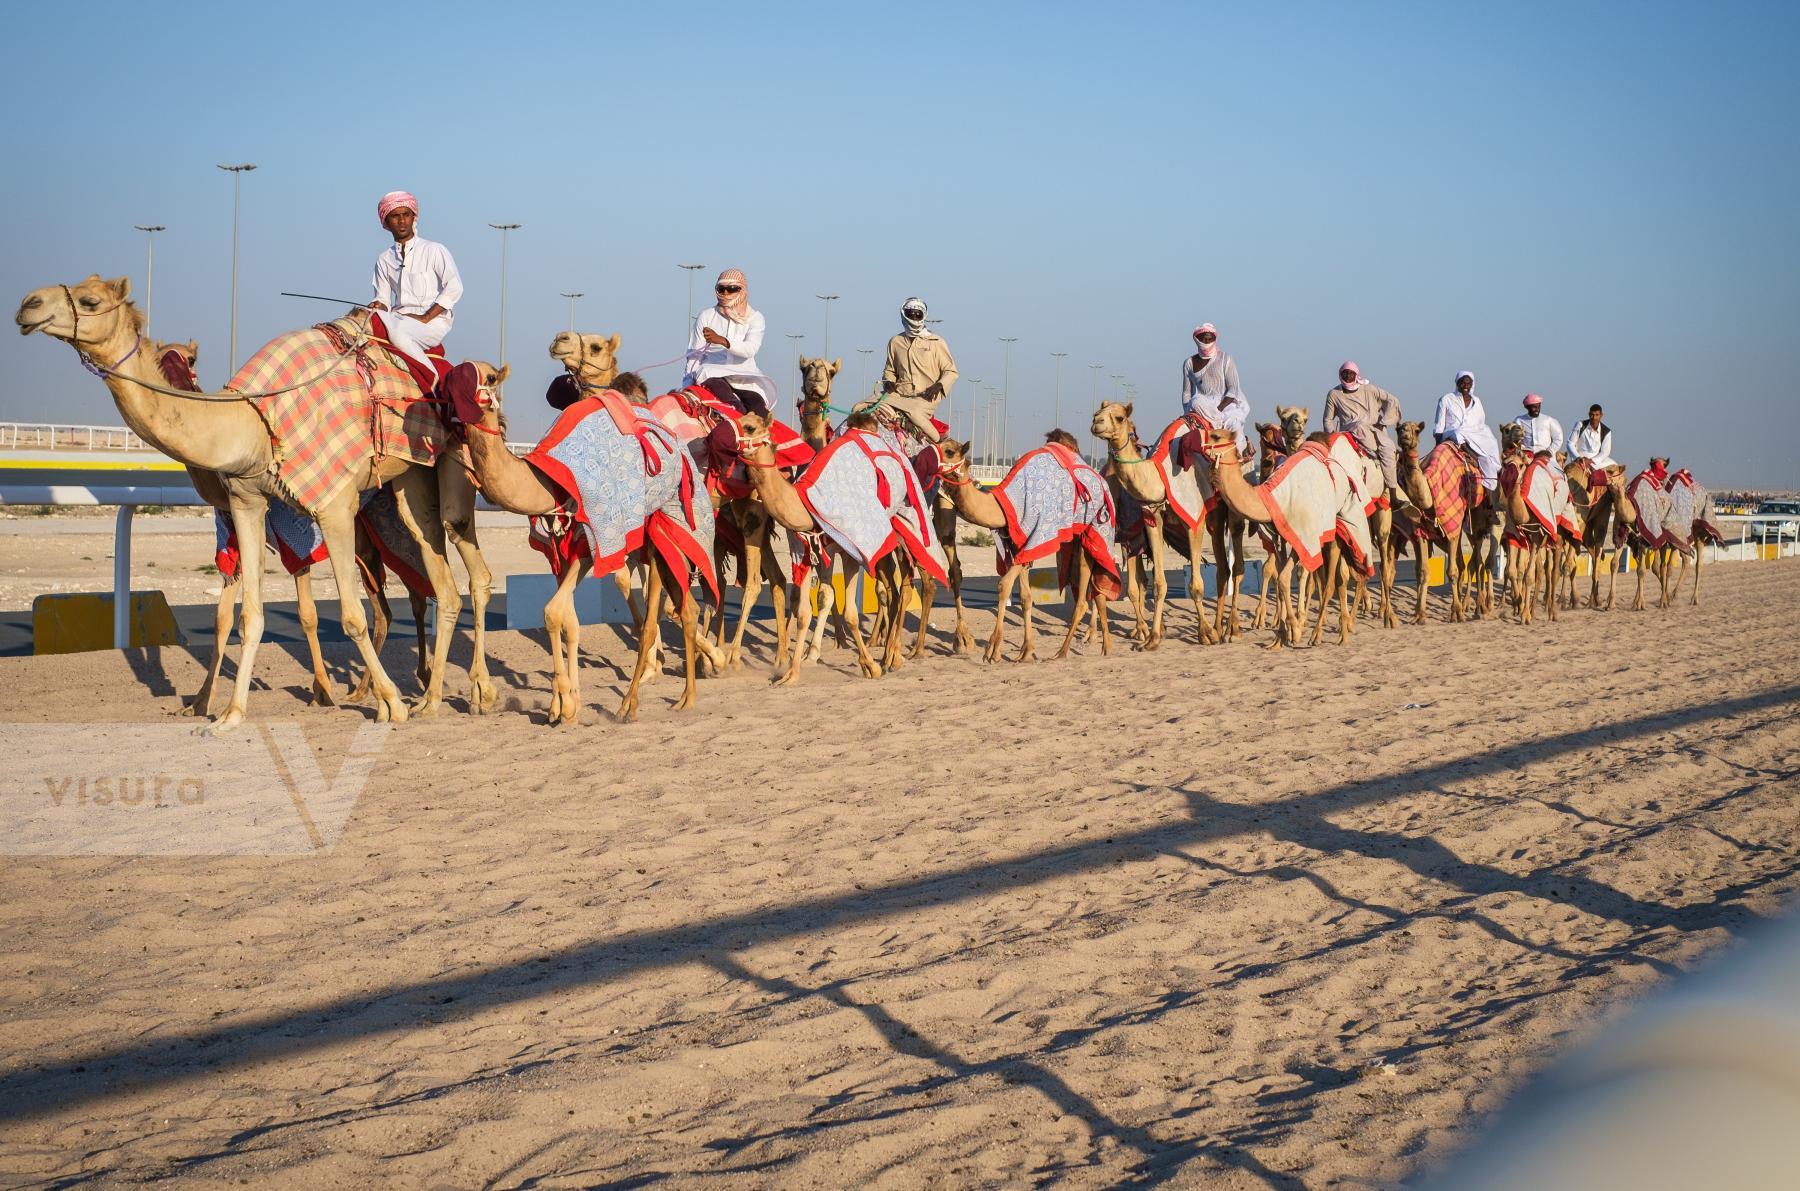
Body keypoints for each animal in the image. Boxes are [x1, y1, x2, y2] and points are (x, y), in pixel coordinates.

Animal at [14, 277, 500, 734]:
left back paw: (473, 694)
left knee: (464, 566)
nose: (27, 305)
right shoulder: (245, 503)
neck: (255, 424)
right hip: (409, 482)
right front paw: (226, 714)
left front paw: (386, 704)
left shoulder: (332, 507)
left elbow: (347, 616)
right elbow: (244, 617)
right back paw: (429, 699)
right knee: (439, 580)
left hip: (449, 467)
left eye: (91, 301)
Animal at [450, 363, 716, 723]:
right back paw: (684, 697)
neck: (549, 483)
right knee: (685, 610)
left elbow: (552, 612)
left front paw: (564, 704)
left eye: (489, 378)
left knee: (655, 620)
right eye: (451, 378)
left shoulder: (592, 544)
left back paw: (631, 704)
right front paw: (564, 703)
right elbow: (568, 619)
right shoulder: (561, 550)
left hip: (668, 533)